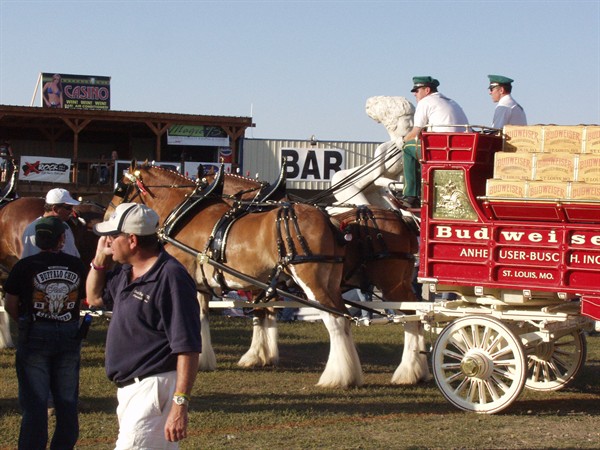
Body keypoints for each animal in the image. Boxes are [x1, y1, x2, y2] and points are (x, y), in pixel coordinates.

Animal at [106, 163, 366, 388]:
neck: (185, 213)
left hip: (312, 281)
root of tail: (330, 220)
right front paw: (207, 359)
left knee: (335, 319)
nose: (107, 217)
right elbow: (205, 316)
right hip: (330, 280)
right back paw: (351, 374)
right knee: (343, 316)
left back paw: (336, 377)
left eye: (120, 188)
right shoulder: (202, 284)